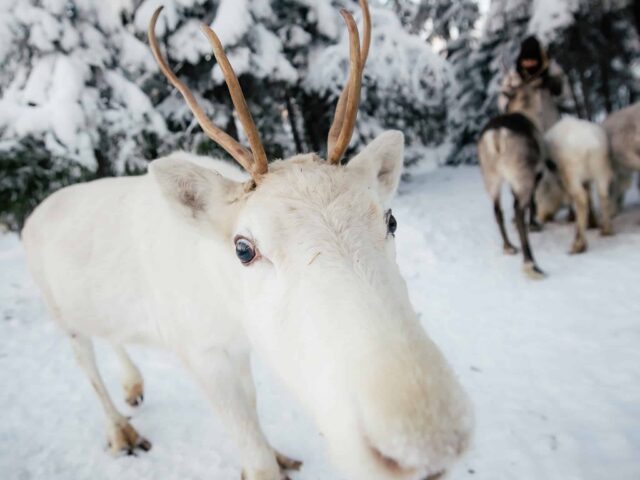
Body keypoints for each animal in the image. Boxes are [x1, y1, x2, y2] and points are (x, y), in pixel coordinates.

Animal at [21, 2, 473, 480]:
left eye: (391, 219)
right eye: (243, 248)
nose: (426, 440)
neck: (226, 307)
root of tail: (34, 215)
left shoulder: (239, 348)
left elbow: (253, 410)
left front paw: (278, 452)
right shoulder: (199, 351)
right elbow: (250, 446)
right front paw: (263, 462)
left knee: (112, 336)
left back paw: (133, 384)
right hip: (62, 316)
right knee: (87, 365)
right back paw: (121, 430)